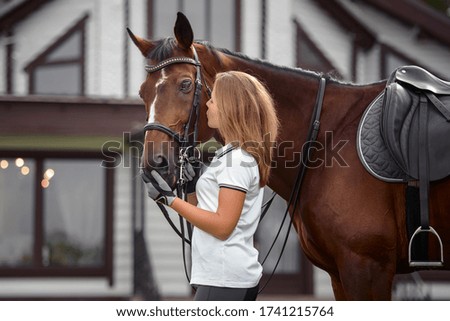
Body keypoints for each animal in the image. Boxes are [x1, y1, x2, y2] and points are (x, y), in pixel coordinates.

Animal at [127, 11, 450, 298]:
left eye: (185, 85)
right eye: (143, 92)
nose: (154, 167)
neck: (328, 135)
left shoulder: (367, 267)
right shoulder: (340, 274)